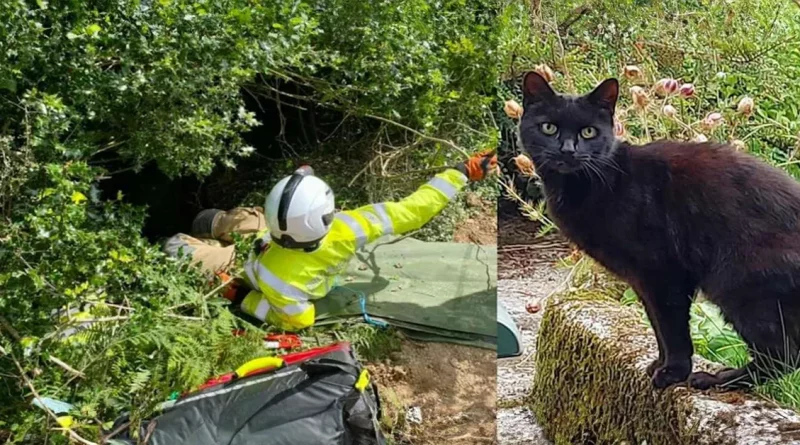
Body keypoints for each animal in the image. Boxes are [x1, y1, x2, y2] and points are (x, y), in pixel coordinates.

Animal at [520, 70, 800, 388]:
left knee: (784, 355)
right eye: (549, 128)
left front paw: (673, 373)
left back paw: (719, 379)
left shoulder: (663, 272)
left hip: (738, 285)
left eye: (588, 132)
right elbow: (657, 325)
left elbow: (671, 328)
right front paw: (659, 365)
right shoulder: (641, 280)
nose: (568, 149)